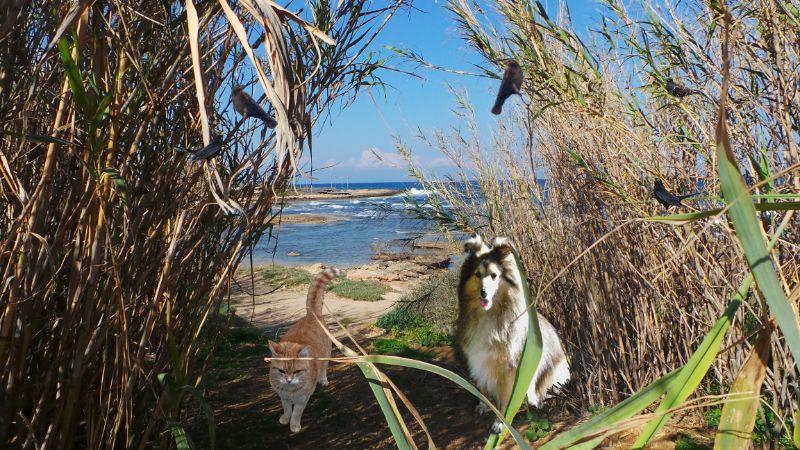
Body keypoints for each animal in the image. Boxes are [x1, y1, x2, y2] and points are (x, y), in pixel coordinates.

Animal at [266, 268, 340, 432]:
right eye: (281, 371)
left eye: (297, 371)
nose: (288, 380)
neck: (290, 391)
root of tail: (312, 314)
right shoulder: (283, 397)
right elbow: (287, 409)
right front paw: (285, 418)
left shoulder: (302, 399)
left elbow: (296, 413)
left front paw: (294, 425)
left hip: (326, 355)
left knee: (324, 369)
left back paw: (323, 380)